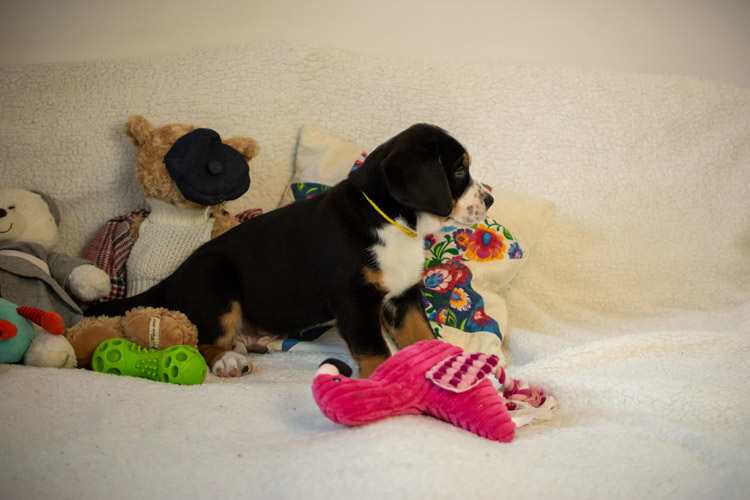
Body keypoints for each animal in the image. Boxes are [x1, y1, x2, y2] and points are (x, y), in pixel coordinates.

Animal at [85, 124, 494, 378]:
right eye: (459, 171)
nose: (489, 200)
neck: (394, 224)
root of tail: (174, 277)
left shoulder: (402, 297)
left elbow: (421, 335)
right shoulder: (355, 300)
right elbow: (376, 351)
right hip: (214, 282)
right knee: (206, 341)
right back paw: (228, 361)